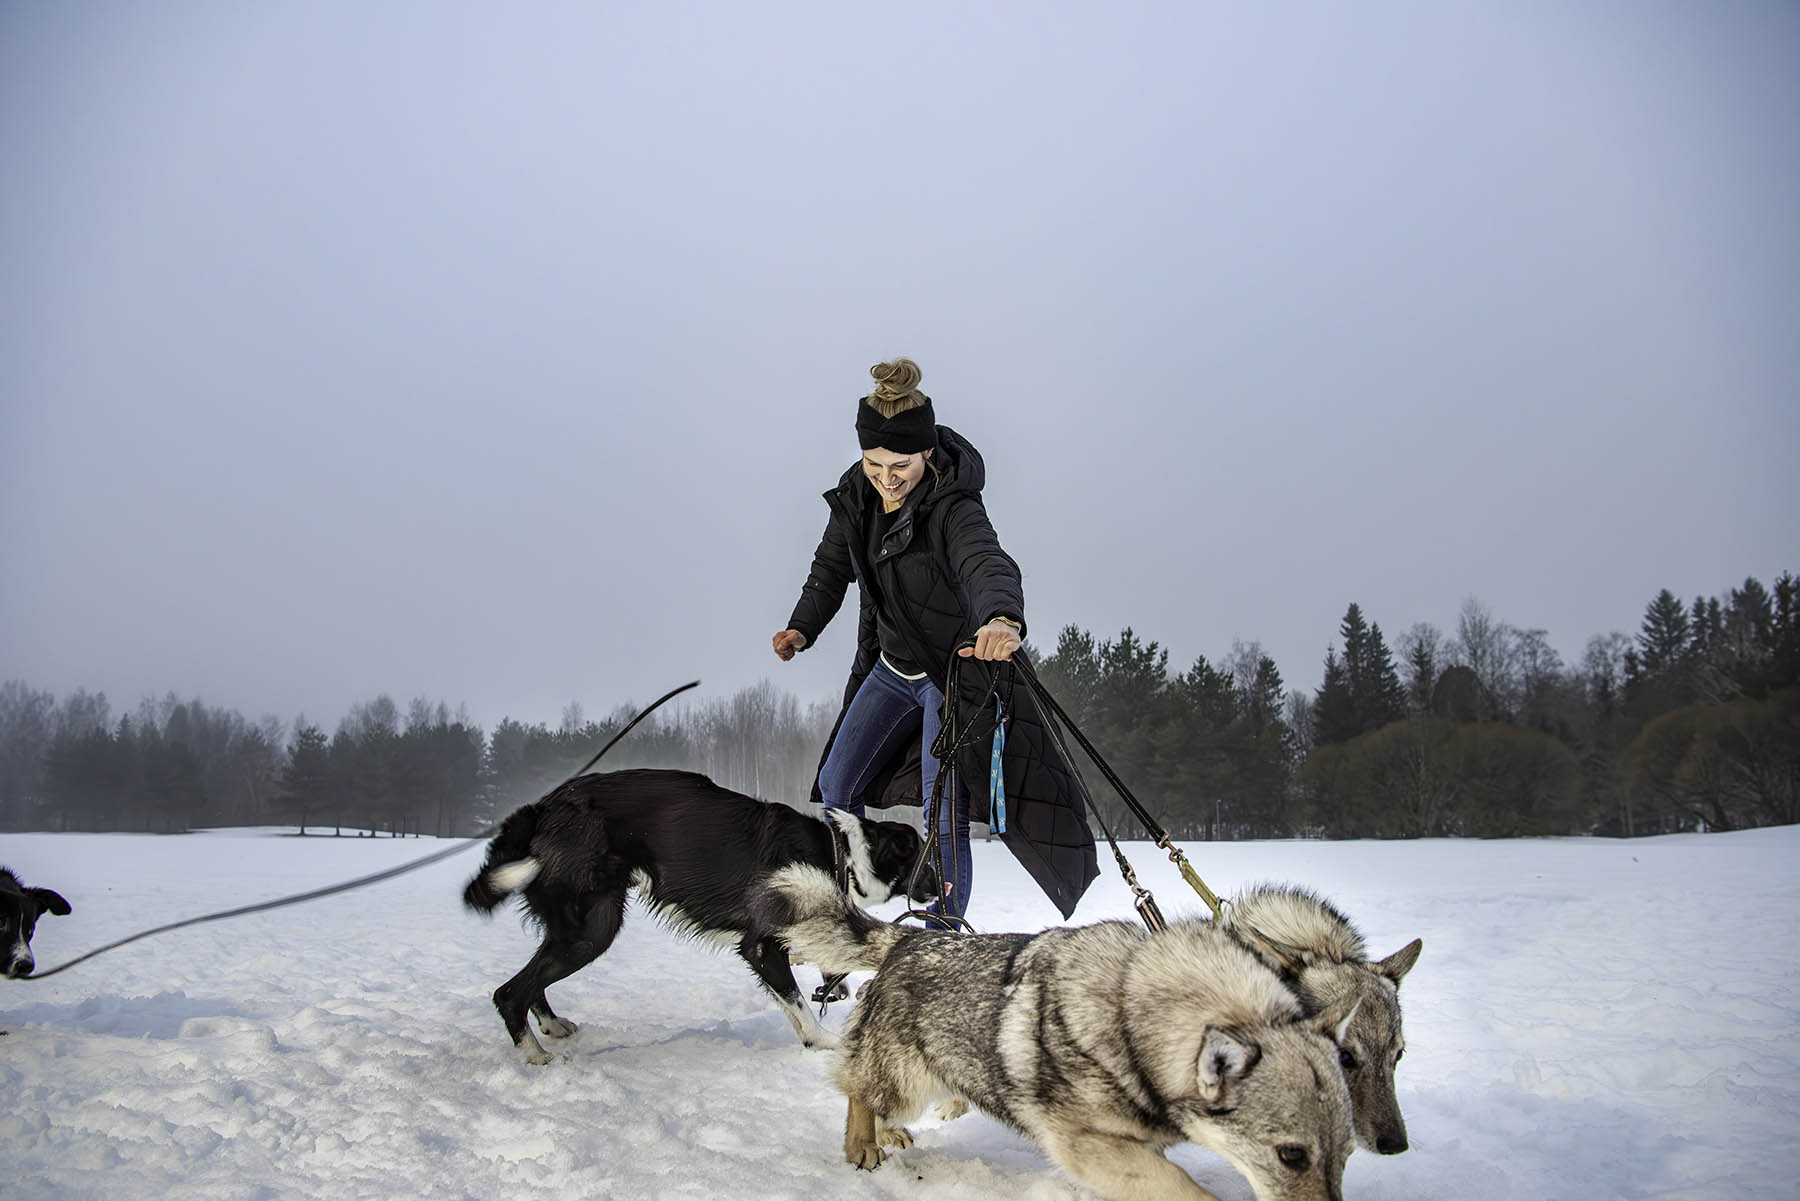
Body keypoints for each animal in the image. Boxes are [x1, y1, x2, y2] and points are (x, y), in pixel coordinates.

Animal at [464, 767, 943, 1065]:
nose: (946, 886)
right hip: (589, 932)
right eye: (925, 859)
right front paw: (823, 1042)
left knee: (532, 983)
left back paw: (550, 1024)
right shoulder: (761, 947)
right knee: (509, 993)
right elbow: (798, 1005)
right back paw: (533, 1054)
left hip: (584, 927)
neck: (838, 851)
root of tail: (543, 808)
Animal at [763, 867, 1360, 1201]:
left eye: (1347, 1155)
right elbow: (1187, 1191)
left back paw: (889, 1135)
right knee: (858, 1090)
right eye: (1291, 1156)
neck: (1129, 1017)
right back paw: (864, 1144)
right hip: (906, 1077)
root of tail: (908, 938)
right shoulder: (1086, 1144)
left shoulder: (1129, 1148)